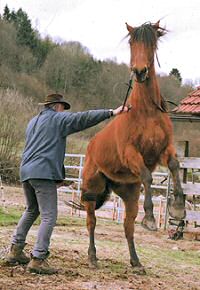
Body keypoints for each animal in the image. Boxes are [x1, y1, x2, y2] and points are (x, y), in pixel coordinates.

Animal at [80, 21, 185, 274]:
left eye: (152, 42)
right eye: (131, 42)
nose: (139, 71)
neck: (145, 112)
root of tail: (91, 145)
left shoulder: (164, 149)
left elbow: (175, 165)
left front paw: (178, 208)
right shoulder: (132, 155)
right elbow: (147, 176)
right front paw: (150, 219)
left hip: (128, 194)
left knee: (128, 227)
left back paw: (136, 262)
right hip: (91, 191)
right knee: (91, 222)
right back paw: (92, 257)